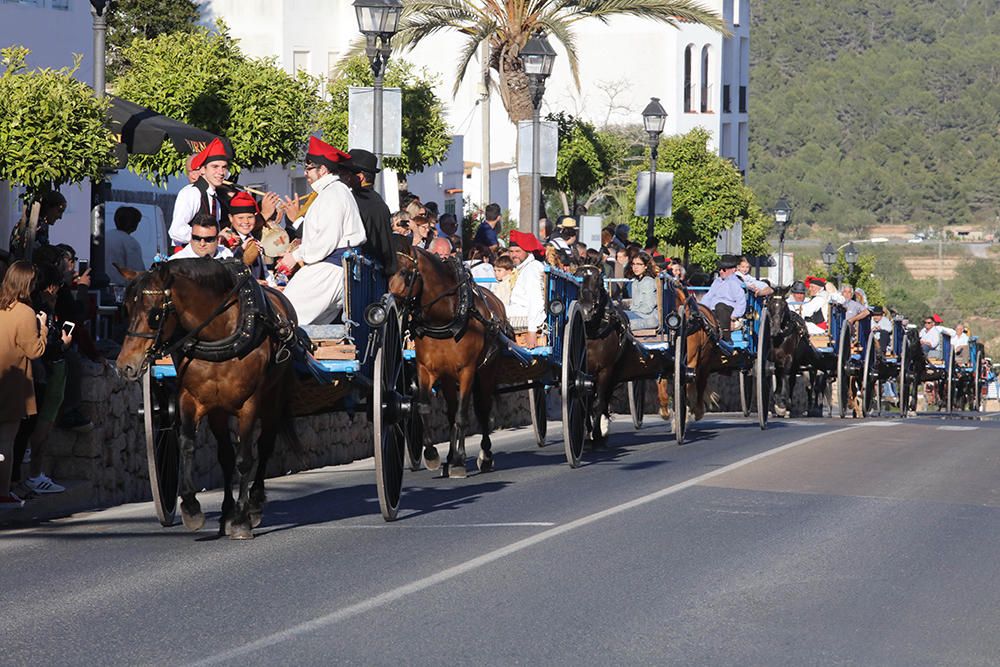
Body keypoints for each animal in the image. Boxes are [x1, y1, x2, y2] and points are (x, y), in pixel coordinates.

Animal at [116, 258, 294, 540]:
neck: (219, 333)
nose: (125, 366)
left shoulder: (249, 404)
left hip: (273, 399)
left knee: (264, 446)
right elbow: (188, 445)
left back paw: (253, 506)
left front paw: (241, 521)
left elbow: (245, 459)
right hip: (219, 412)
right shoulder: (191, 399)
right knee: (226, 456)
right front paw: (191, 508)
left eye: (154, 315)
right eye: (126, 308)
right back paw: (226, 514)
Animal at [388, 248, 512, 478]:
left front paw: (459, 461)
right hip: (447, 378)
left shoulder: (467, 371)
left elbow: (463, 416)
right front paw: (432, 455)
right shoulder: (426, 370)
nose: (390, 303)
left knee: (482, 410)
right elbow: (425, 408)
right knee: (452, 412)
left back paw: (484, 455)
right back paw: (450, 456)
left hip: (487, 371)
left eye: (405, 272)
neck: (445, 318)